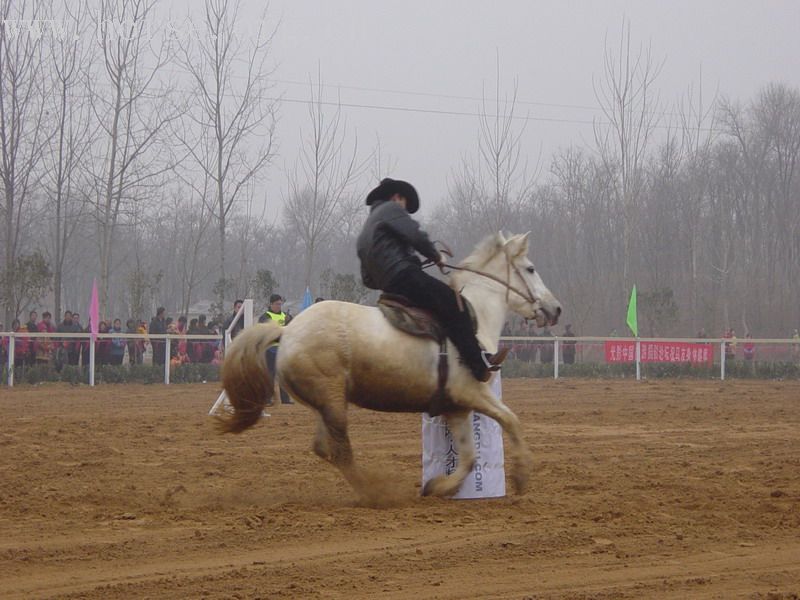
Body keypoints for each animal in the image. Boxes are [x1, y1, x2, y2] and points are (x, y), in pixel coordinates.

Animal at [219, 234, 564, 502]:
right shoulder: (473, 392)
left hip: (326, 404)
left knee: (324, 448)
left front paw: (438, 487)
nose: (555, 308)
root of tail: (288, 331)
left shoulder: (457, 408)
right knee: (341, 451)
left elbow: (468, 457)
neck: (473, 318)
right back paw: (376, 493)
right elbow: (511, 420)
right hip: (333, 402)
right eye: (530, 268)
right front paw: (521, 475)